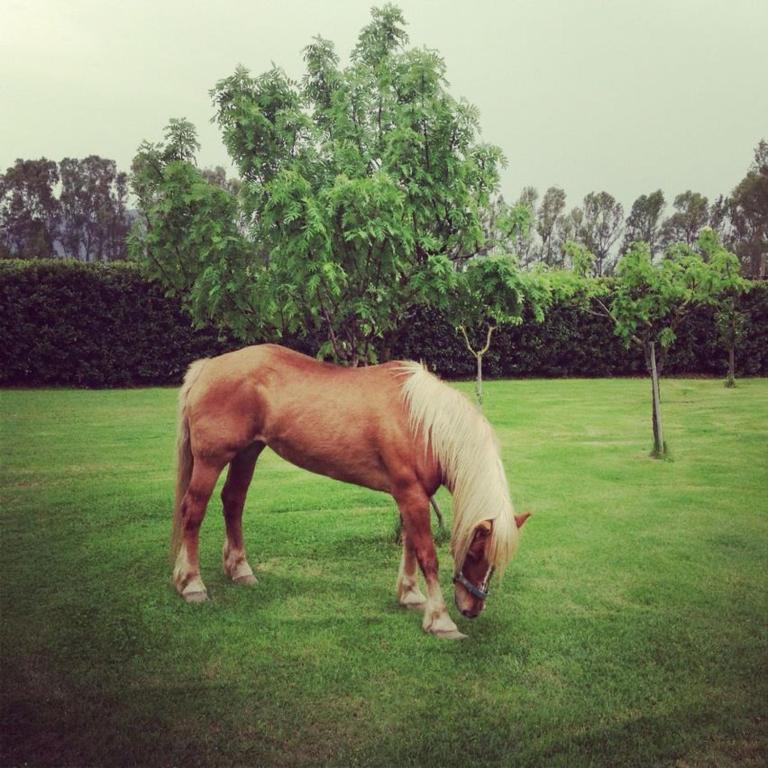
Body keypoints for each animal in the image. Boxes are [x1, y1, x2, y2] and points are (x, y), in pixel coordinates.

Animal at [171, 344, 528, 640]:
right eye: (475, 553)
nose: (471, 609)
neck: (423, 423)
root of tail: (207, 366)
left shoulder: (410, 496)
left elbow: (410, 545)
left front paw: (410, 595)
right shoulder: (412, 494)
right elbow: (427, 555)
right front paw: (440, 620)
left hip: (248, 453)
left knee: (233, 502)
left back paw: (240, 570)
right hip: (211, 460)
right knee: (194, 511)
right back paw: (192, 584)